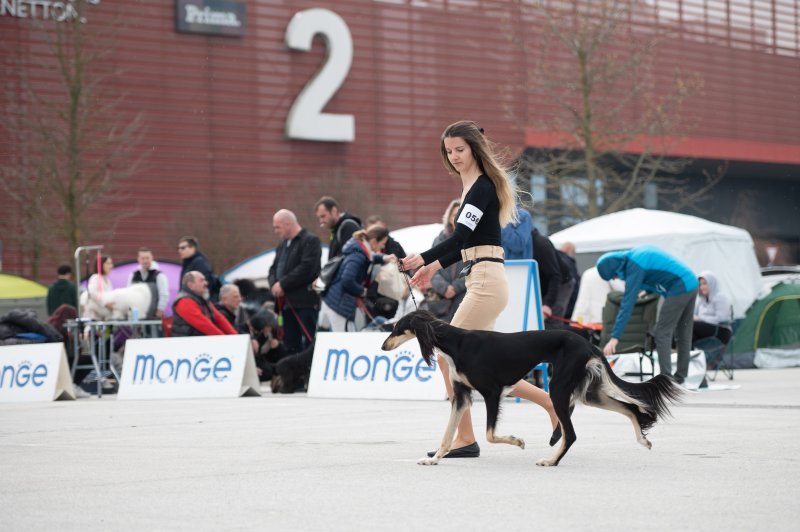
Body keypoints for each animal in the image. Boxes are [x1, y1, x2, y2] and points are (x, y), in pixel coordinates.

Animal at [382, 310, 680, 468]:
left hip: (559, 388)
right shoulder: (462, 396)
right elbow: (447, 435)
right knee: (629, 407)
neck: (457, 343)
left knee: (571, 433)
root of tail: (588, 343)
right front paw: (434, 460)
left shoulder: (492, 391)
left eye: (397, 328)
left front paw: (517, 441)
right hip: (588, 392)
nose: (383, 346)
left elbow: (490, 434)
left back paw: (551, 461)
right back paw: (642, 439)